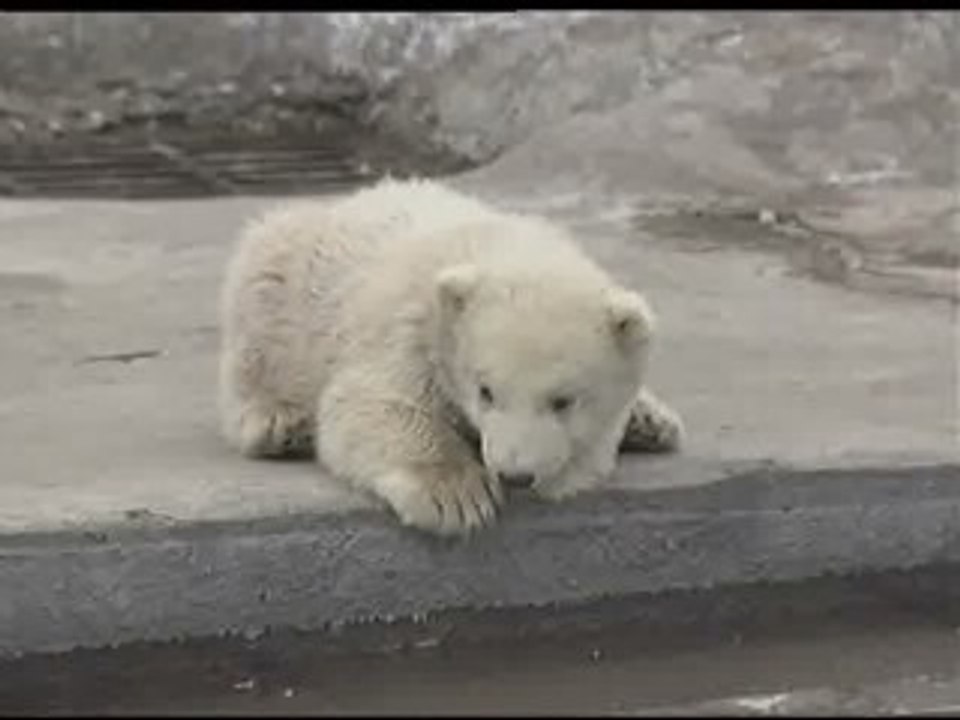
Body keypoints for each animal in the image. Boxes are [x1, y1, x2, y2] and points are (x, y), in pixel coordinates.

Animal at [219, 178, 683, 536]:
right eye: (486, 391)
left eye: (563, 401)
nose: (515, 475)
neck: (499, 248)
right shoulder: (414, 327)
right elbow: (371, 404)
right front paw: (456, 497)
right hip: (291, 286)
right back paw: (280, 423)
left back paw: (653, 422)